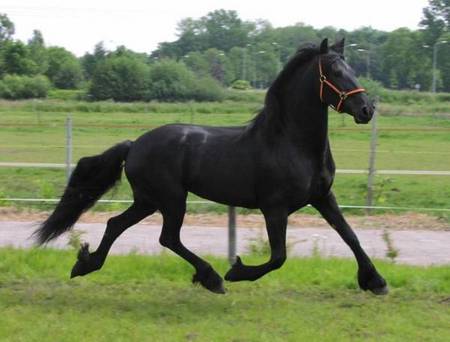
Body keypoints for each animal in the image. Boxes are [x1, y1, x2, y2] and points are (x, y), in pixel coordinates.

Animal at [34, 36, 386, 294]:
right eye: (335, 72)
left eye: (352, 67)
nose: (366, 109)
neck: (292, 143)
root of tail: (134, 145)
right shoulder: (274, 208)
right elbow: (278, 257)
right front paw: (237, 271)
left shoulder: (323, 197)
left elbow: (350, 235)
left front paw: (375, 282)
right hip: (171, 199)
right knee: (167, 238)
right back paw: (212, 278)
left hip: (148, 201)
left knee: (116, 224)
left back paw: (86, 263)